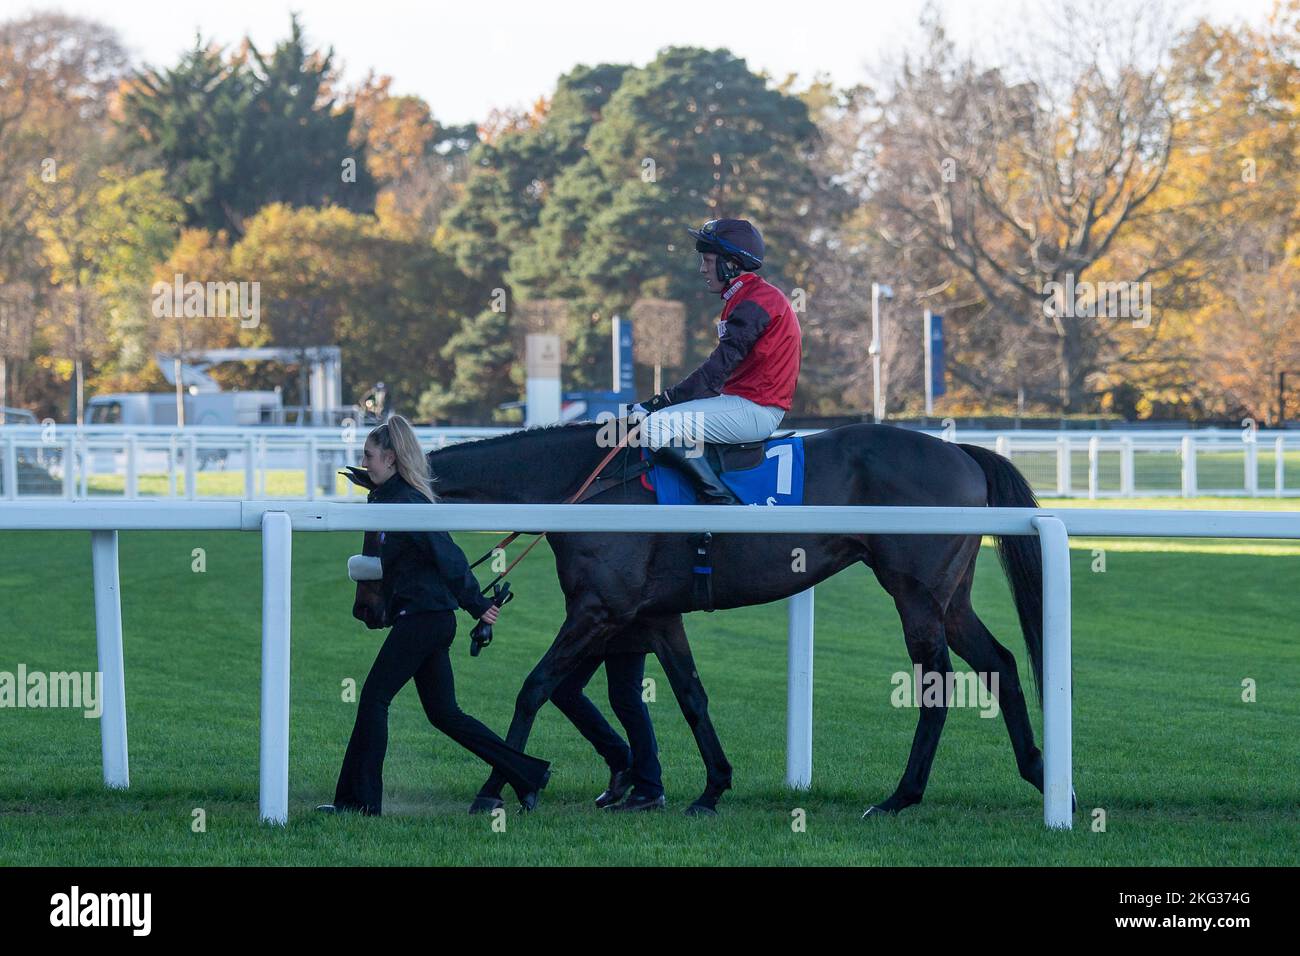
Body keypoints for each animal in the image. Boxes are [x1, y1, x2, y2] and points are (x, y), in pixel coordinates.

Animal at [351, 421, 1050, 816]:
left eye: (382, 524)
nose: (366, 609)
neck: (590, 485)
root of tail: (961, 452)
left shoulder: (599, 608)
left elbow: (536, 687)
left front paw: (501, 787)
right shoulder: (655, 615)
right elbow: (689, 696)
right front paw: (707, 787)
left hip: (916, 594)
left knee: (937, 685)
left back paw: (900, 796)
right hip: (950, 597)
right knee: (999, 662)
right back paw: (1041, 773)